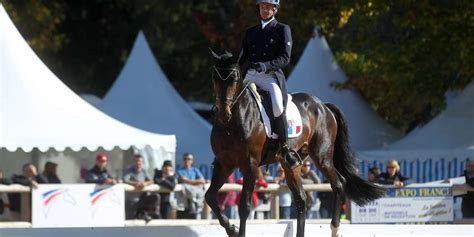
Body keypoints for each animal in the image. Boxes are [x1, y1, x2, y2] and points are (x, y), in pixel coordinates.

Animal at [206, 50, 386, 237]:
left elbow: (244, 208)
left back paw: (335, 229)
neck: (231, 123)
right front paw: (232, 229)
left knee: (338, 184)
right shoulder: (224, 164)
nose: (223, 114)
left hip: (321, 157)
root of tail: (323, 105)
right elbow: (210, 197)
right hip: (291, 165)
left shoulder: (250, 166)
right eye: (214, 77)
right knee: (301, 199)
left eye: (234, 78)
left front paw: (236, 231)